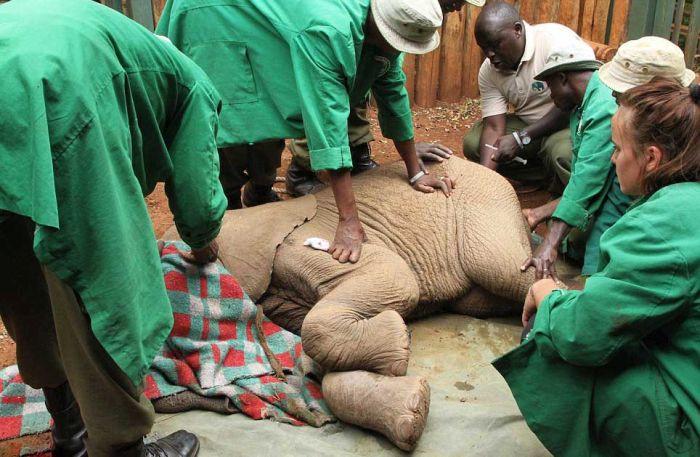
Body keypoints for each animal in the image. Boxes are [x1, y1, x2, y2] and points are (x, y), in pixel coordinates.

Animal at [164, 157, 535, 451]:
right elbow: (313, 355)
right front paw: (408, 396)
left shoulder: (299, 247)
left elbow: (396, 279)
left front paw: (399, 339)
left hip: (483, 202)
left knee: (504, 269)